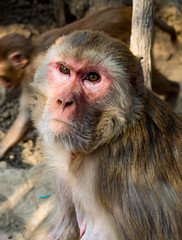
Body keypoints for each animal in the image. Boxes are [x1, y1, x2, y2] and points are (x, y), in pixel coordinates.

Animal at [0, 6, 179, 159]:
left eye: (3, 77)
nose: (5, 85)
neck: (31, 51)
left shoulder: (32, 74)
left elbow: (26, 116)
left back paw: (174, 92)